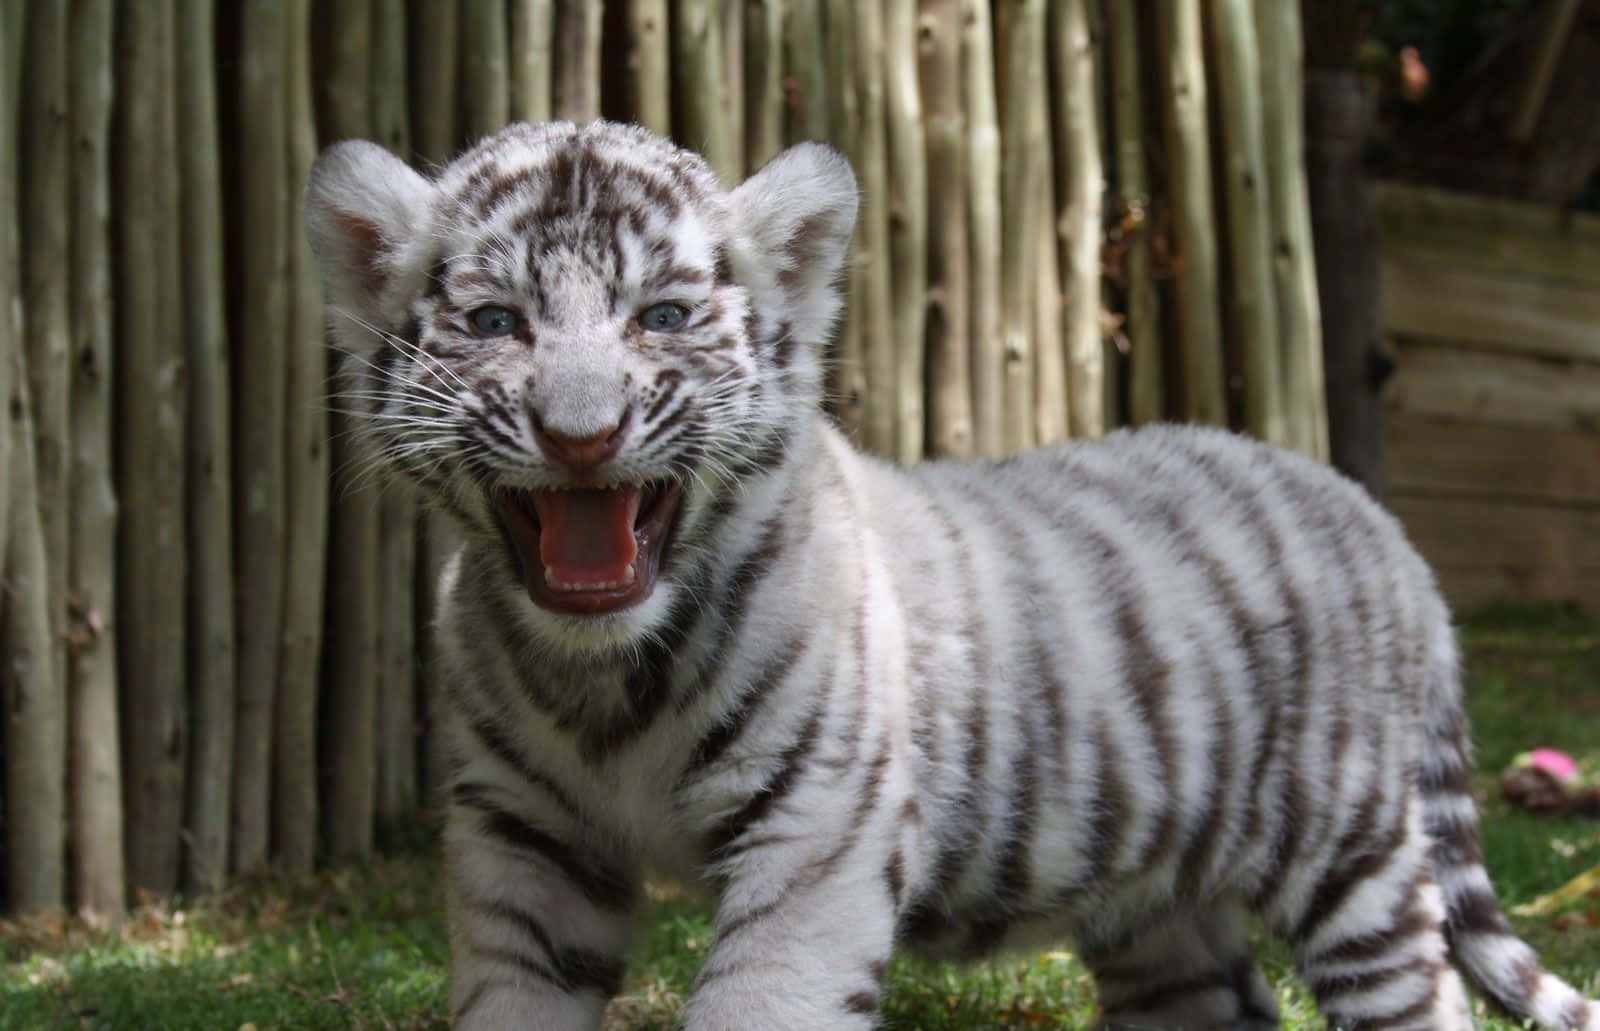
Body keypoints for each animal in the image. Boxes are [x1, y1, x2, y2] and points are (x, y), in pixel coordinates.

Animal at [303, 119, 1600, 1031]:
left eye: (661, 315)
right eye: (495, 322)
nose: (582, 435)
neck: (602, 677)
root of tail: (1383, 525)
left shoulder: (815, 826)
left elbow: (756, 995)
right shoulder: (522, 840)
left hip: (1351, 848)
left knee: (1416, 993)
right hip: (1160, 902)